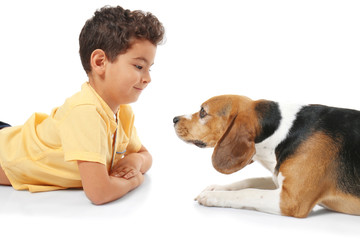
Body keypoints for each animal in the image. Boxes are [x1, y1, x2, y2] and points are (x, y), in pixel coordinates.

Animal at [172, 95, 360, 218]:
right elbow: (249, 181)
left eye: (203, 112)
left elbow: (248, 192)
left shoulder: (290, 200)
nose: (174, 119)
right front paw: (216, 188)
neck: (282, 133)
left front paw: (211, 196)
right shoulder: (278, 178)